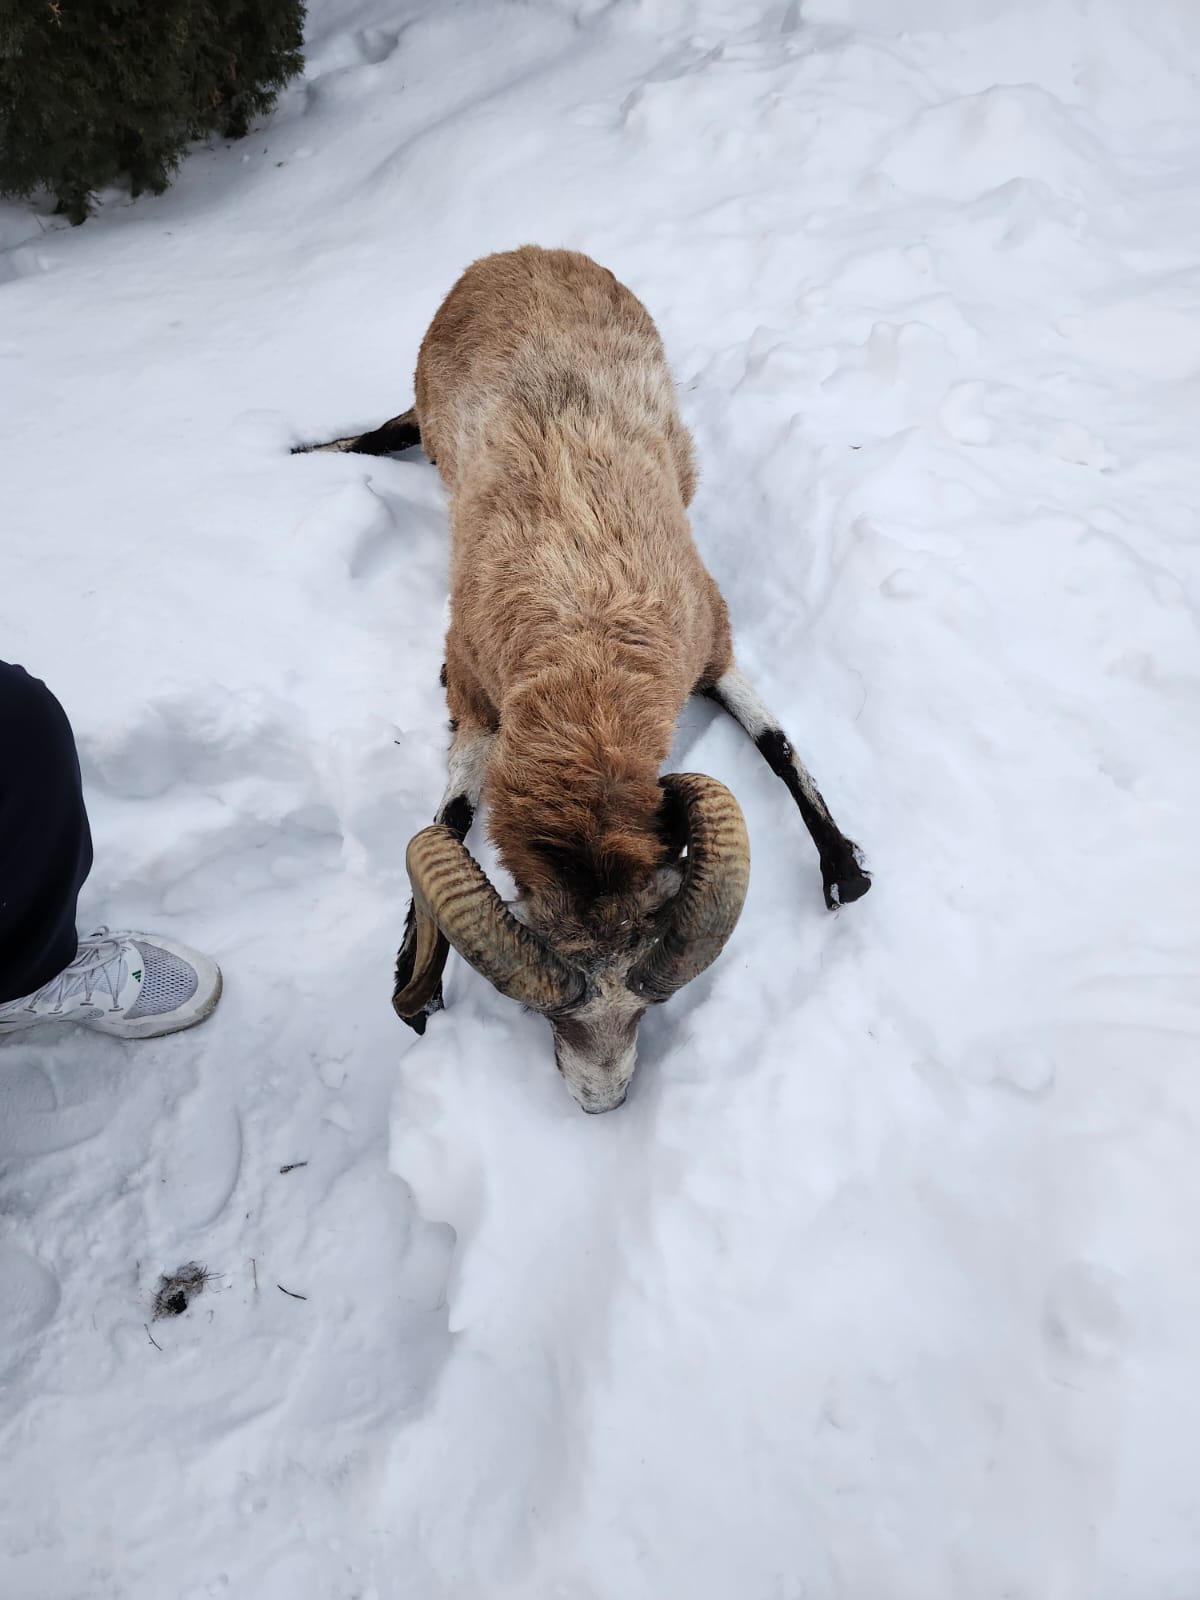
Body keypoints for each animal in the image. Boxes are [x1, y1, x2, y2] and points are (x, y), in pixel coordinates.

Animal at [295, 246, 870, 1113]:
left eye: (644, 1009)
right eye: (547, 1015)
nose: (602, 1102)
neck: (585, 665)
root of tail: (524, 252)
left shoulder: (714, 645)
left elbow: (775, 744)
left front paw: (844, 873)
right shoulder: (479, 701)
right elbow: (453, 814)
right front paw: (414, 975)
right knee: (394, 429)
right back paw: (303, 455)